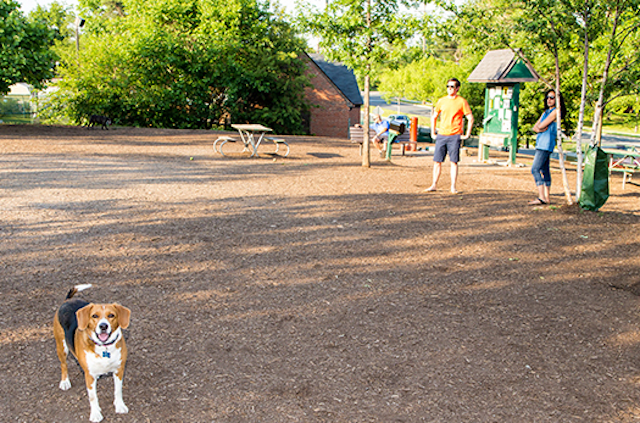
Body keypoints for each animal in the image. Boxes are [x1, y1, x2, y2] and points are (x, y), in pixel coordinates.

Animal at [53, 284, 131, 423]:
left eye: (111, 315)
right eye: (94, 316)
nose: (103, 326)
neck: (104, 348)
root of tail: (67, 301)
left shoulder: (119, 370)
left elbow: (118, 391)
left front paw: (120, 406)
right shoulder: (89, 377)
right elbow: (93, 397)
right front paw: (95, 414)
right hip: (61, 347)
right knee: (63, 365)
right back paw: (65, 382)